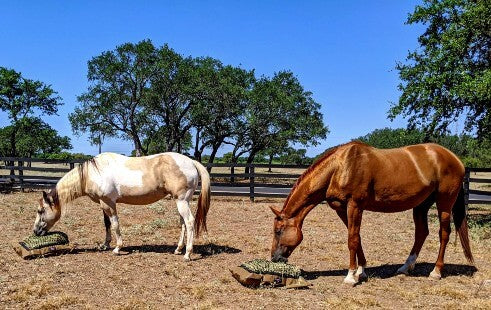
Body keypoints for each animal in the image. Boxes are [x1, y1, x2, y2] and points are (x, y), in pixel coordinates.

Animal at [33, 151, 210, 260]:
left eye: (41, 211)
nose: (35, 231)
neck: (93, 173)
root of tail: (191, 162)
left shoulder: (109, 203)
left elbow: (115, 224)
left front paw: (117, 248)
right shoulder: (103, 204)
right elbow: (106, 224)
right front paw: (105, 245)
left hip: (182, 201)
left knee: (189, 222)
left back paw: (187, 254)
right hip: (180, 201)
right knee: (183, 224)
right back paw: (178, 249)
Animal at [270, 142, 474, 284]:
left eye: (278, 231)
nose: (274, 258)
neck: (341, 167)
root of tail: (456, 159)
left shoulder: (355, 206)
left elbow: (352, 239)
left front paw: (350, 276)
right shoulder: (341, 208)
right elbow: (356, 237)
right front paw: (361, 271)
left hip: (444, 203)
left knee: (444, 234)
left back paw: (436, 272)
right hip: (421, 205)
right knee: (422, 233)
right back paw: (406, 267)